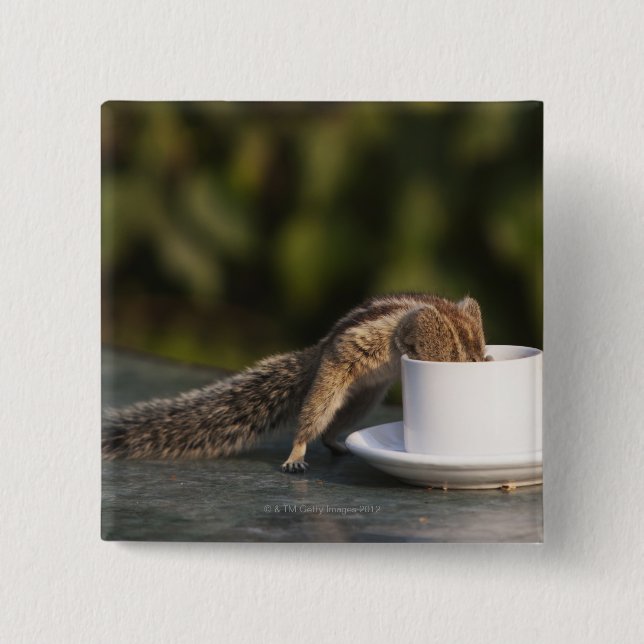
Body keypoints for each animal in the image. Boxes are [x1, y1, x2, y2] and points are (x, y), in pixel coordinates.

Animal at [102, 293, 488, 472]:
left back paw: (337, 443)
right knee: (312, 419)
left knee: (335, 426)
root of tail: (318, 353)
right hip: (332, 380)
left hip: (364, 397)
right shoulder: (409, 324)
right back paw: (296, 454)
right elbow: (407, 332)